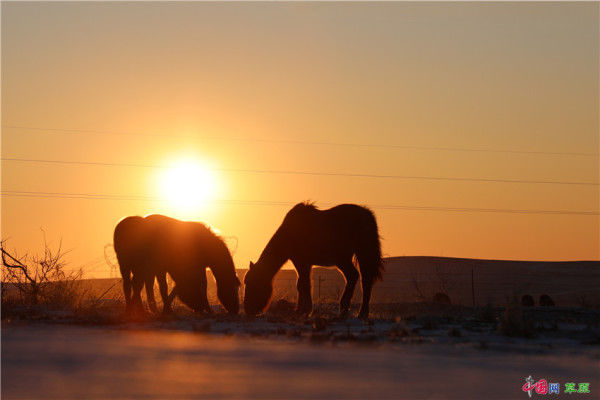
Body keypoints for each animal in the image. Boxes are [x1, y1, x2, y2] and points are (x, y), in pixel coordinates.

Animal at [245, 203, 382, 318]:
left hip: (352, 257)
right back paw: (348, 311)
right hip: (347, 259)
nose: (248, 310)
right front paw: (304, 309)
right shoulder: (305, 263)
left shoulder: (301, 262)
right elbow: (303, 283)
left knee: (361, 279)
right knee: (357, 277)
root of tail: (367, 215)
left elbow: (302, 284)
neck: (290, 234)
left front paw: (302, 310)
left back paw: (357, 312)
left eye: (253, 283)